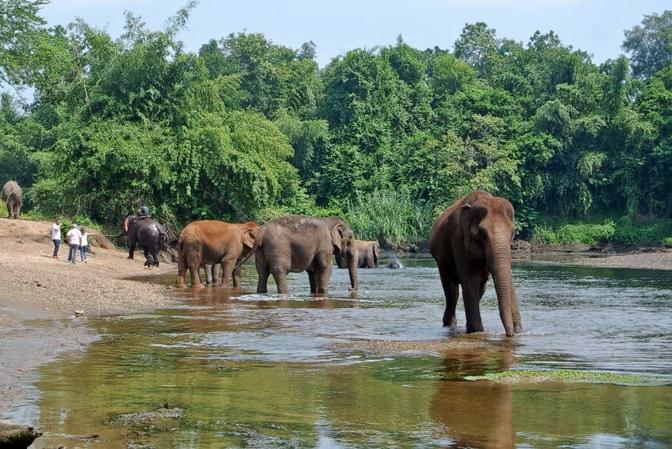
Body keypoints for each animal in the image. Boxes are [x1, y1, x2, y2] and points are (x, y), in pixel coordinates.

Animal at [428, 190, 522, 337]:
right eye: (482, 234)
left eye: (512, 233)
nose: (510, 334)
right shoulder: (458, 239)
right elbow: (469, 280)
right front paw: (477, 331)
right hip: (441, 261)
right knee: (452, 291)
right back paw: (450, 324)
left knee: (480, 288)